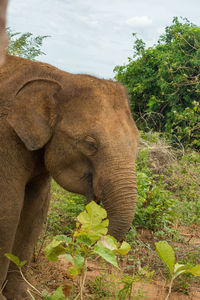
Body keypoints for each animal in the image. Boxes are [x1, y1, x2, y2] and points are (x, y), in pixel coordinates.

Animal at [0, 54, 139, 300]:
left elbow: (35, 210)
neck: (62, 78)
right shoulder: (5, 137)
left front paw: (23, 295)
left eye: (138, 142)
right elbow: (9, 209)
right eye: (90, 144)